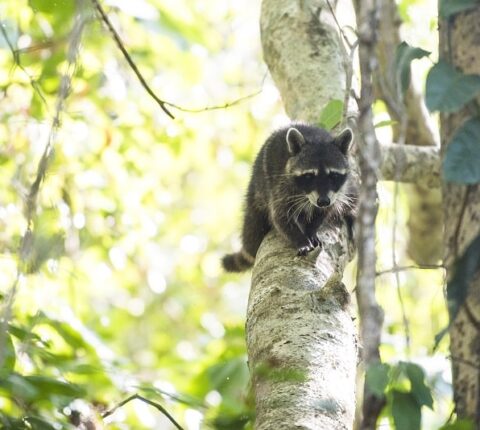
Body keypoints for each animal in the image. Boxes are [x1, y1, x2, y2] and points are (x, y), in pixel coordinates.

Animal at [221, 124, 356, 272]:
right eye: (309, 176)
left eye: (333, 175)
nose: (323, 201)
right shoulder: (281, 186)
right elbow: (280, 216)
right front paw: (300, 239)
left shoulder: (335, 194)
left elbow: (324, 212)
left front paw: (311, 230)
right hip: (258, 193)